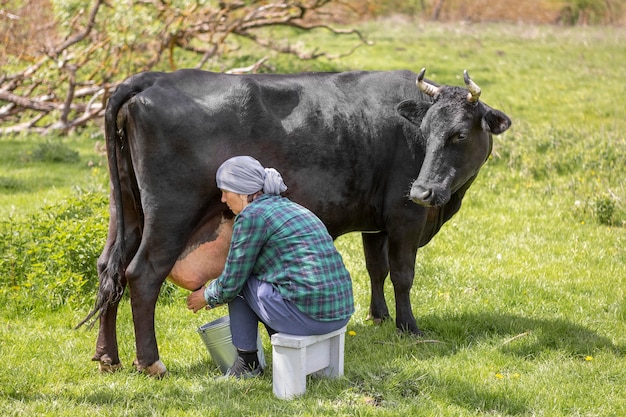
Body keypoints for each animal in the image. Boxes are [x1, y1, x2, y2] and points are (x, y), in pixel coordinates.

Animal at [80, 67, 510, 374]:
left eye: (459, 134)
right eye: (425, 131)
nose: (422, 190)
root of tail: (154, 77)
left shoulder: (377, 221)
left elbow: (377, 269)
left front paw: (379, 317)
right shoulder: (405, 215)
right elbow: (403, 274)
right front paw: (409, 327)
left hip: (126, 212)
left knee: (109, 271)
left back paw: (108, 357)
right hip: (170, 216)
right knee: (142, 275)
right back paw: (150, 362)